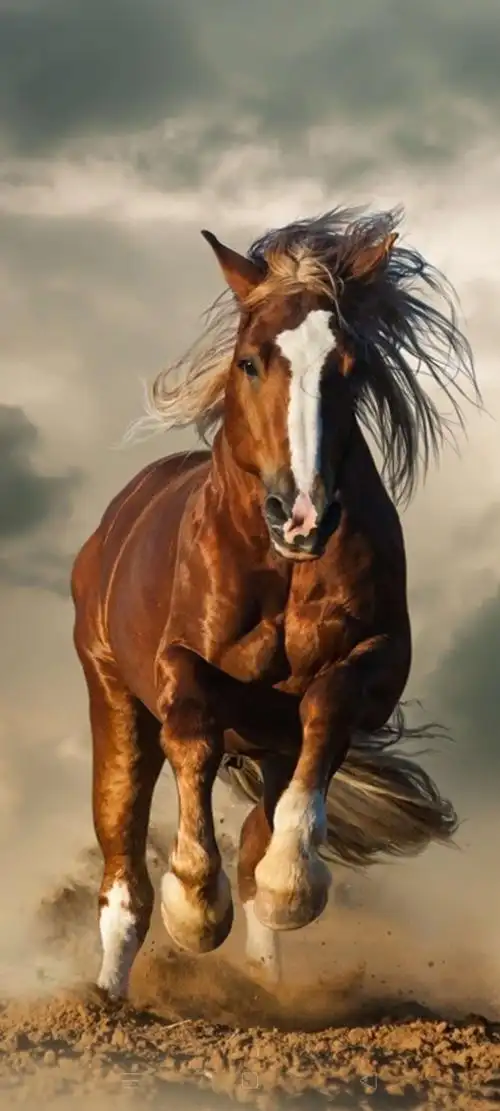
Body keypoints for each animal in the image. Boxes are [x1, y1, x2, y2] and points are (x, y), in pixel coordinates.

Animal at [71, 205, 479, 1001]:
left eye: (349, 367)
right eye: (251, 361)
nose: (303, 515)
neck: (280, 570)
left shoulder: (375, 666)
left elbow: (327, 708)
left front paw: (294, 884)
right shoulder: (177, 665)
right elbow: (192, 731)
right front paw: (197, 907)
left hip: (267, 745)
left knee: (258, 832)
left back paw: (264, 977)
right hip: (113, 700)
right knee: (122, 869)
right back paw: (110, 998)